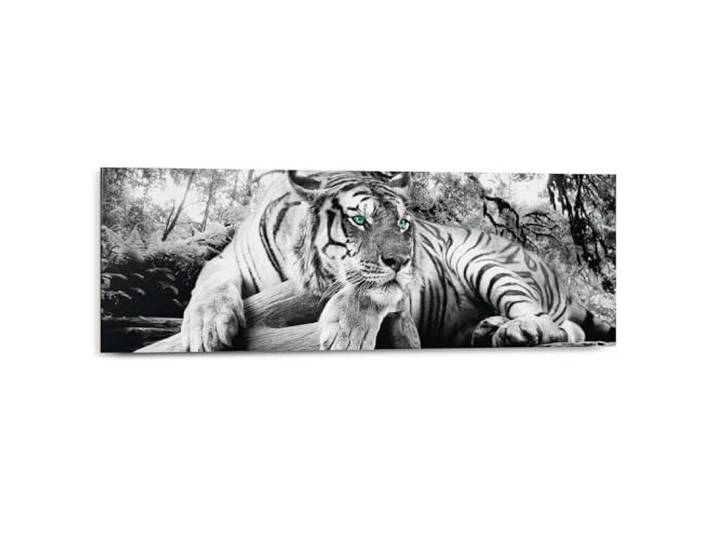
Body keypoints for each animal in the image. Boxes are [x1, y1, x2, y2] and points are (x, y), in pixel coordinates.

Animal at [180, 170, 615, 352]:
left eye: (404, 222)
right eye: (360, 219)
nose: (405, 261)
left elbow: (368, 291)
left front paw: (346, 333)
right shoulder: (227, 259)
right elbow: (208, 282)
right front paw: (205, 329)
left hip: (483, 260)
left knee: (555, 323)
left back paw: (517, 330)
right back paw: (487, 329)